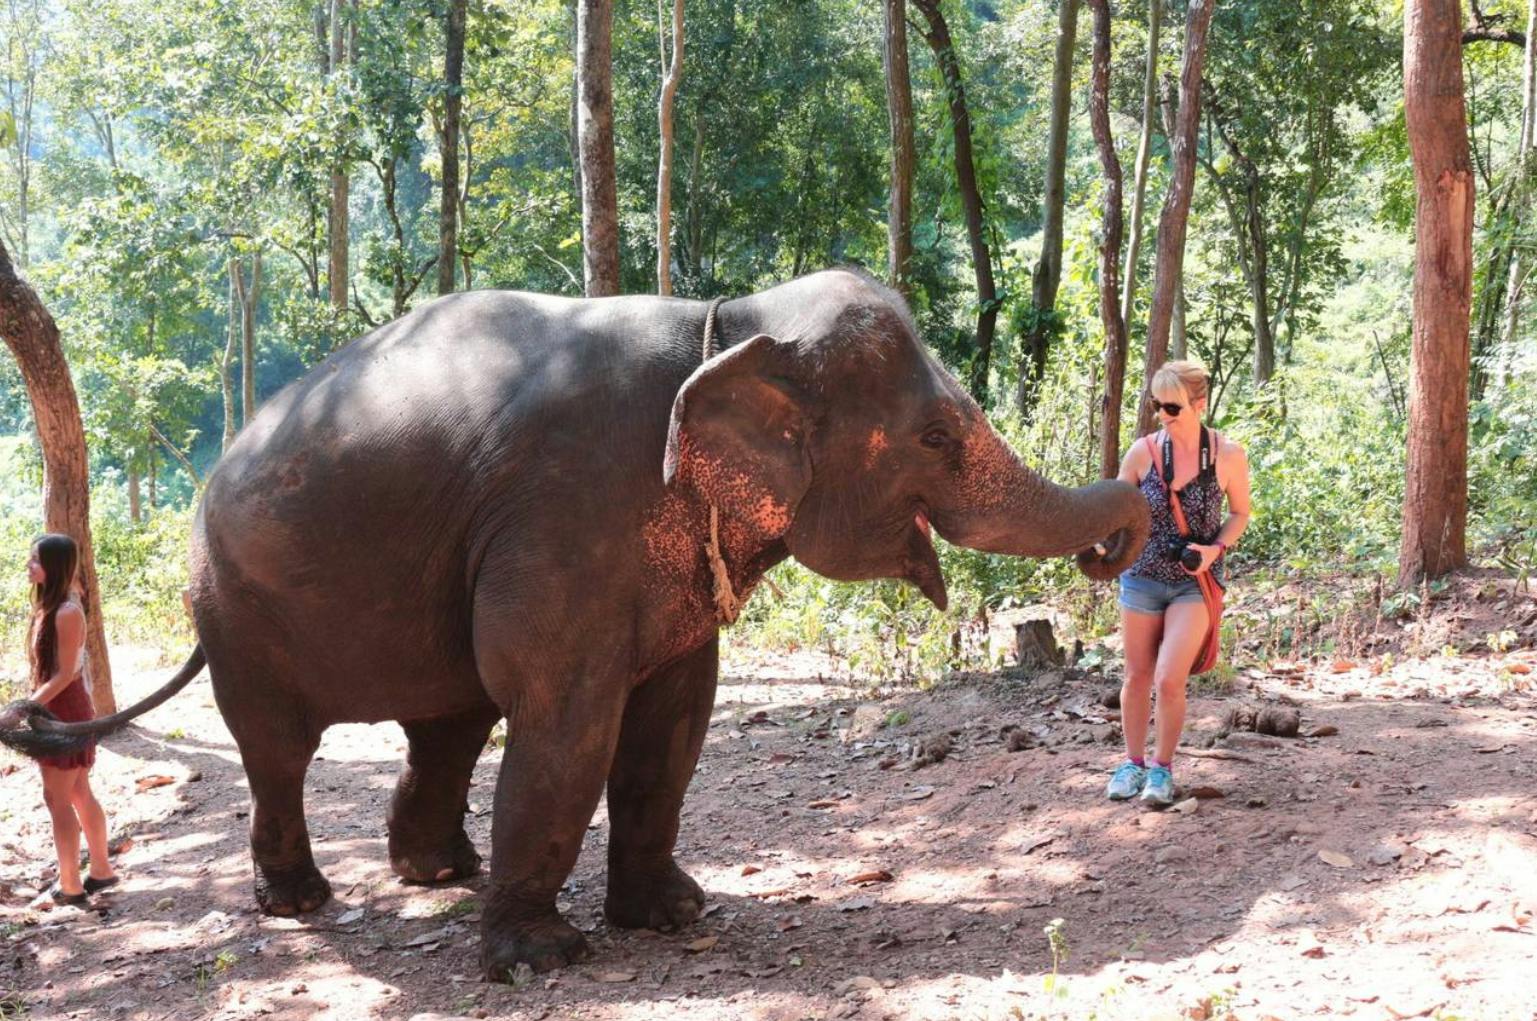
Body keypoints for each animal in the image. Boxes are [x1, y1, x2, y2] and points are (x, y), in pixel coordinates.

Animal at [4, 268, 1149, 980]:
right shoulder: (567, 512)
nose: (1113, 549)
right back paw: (302, 901)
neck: (728, 317)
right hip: (237, 602)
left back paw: (439, 873)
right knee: (282, 747)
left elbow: (674, 720)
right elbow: (568, 719)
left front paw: (676, 914)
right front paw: (541, 959)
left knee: (449, 721)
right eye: (936, 436)